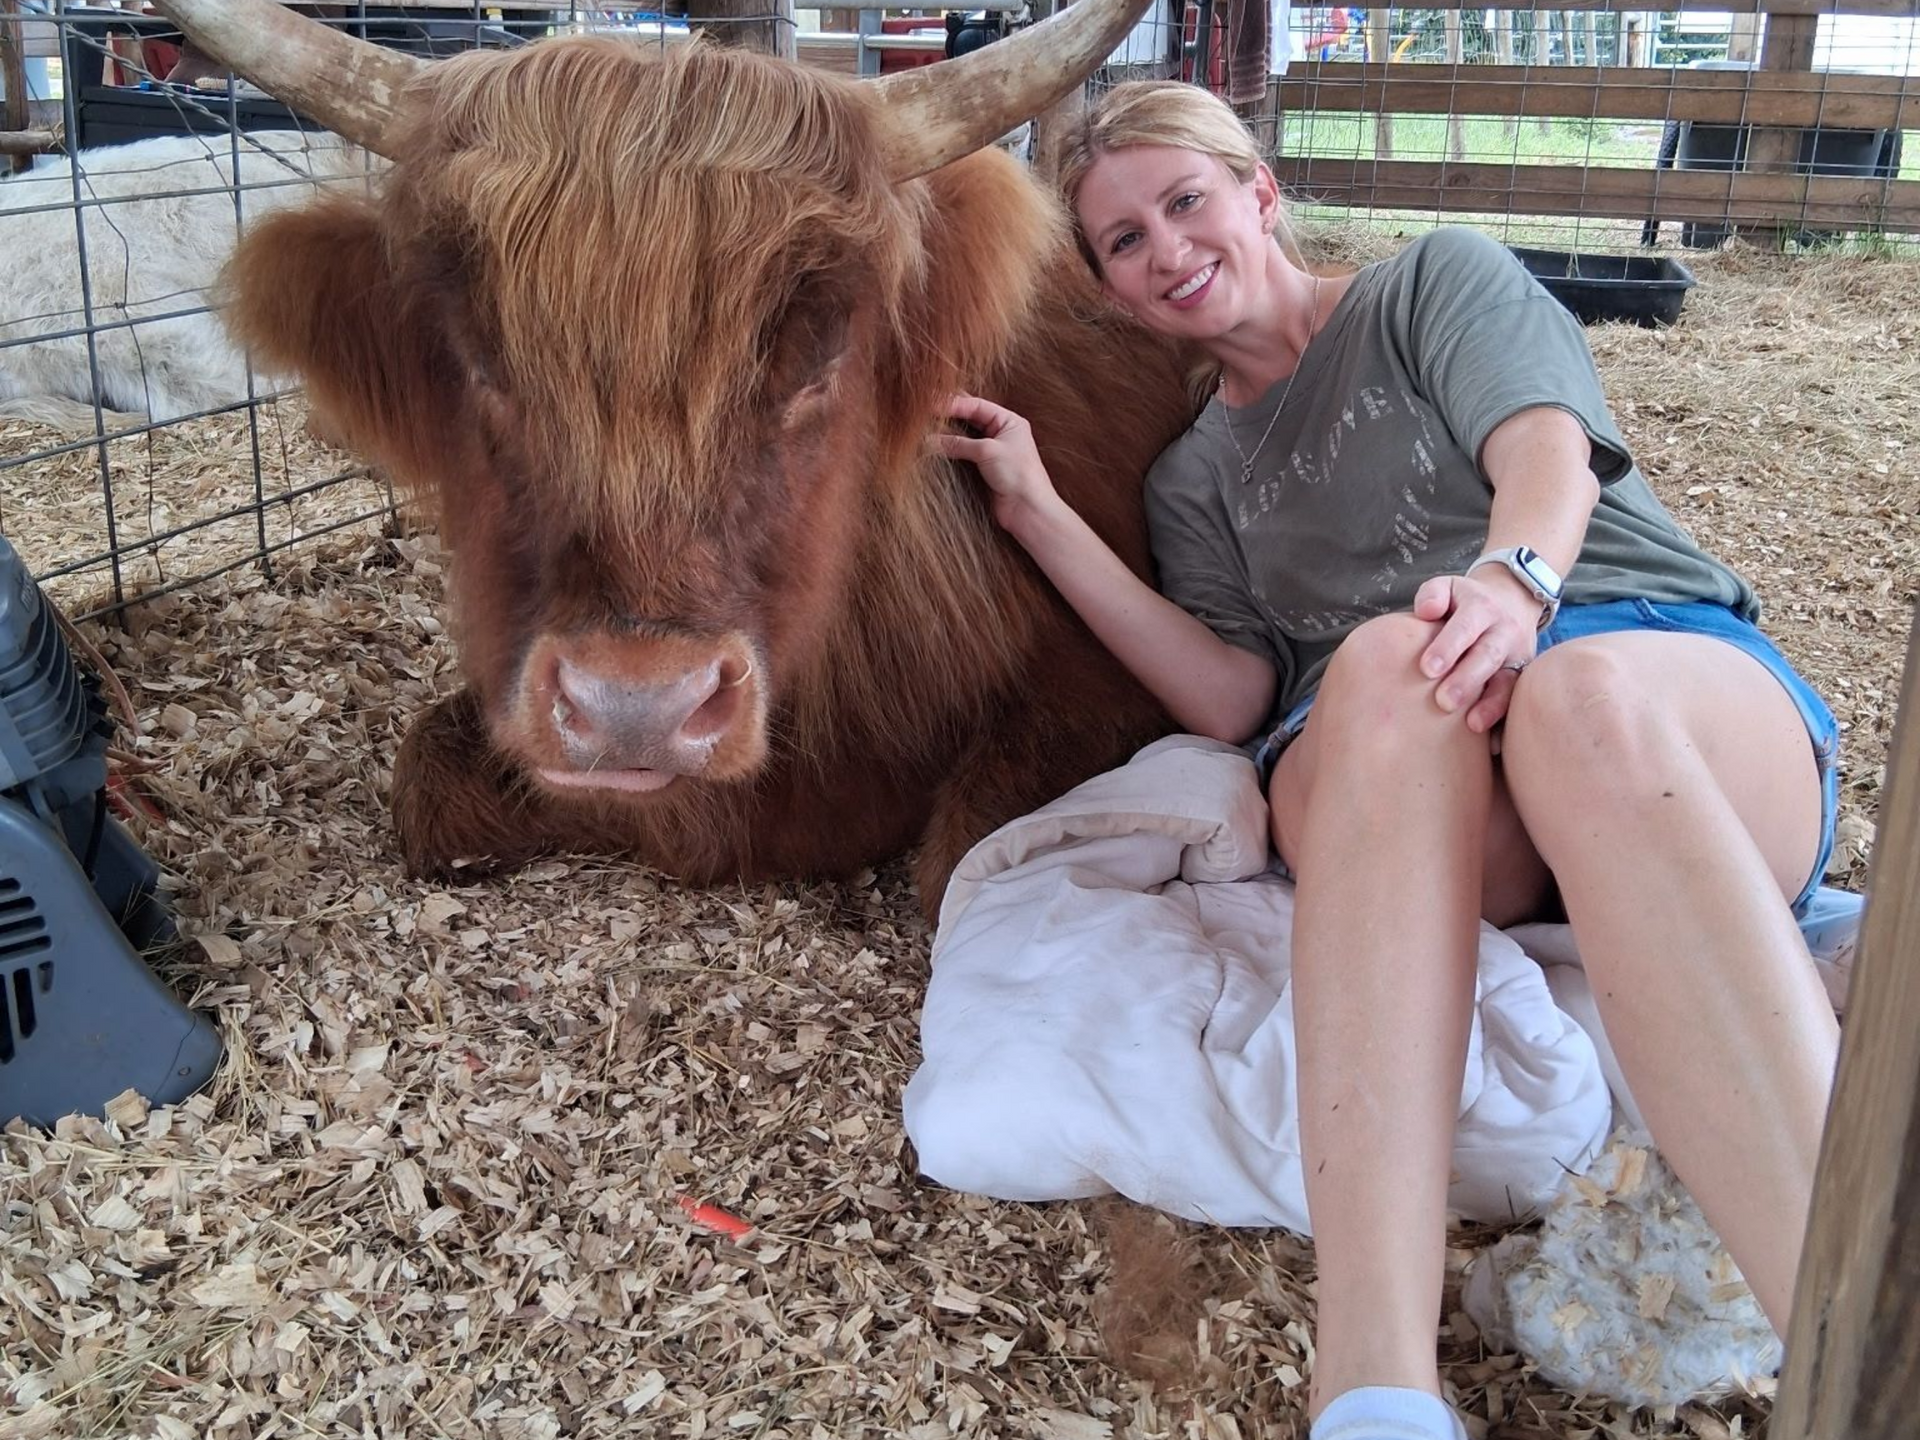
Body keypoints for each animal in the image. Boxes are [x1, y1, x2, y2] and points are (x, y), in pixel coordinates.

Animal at [158, 0, 1199, 913]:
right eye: (479, 357)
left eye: (820, 350)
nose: (637, 708)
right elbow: (426, 783)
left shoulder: (1099, 676)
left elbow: (964, 869)